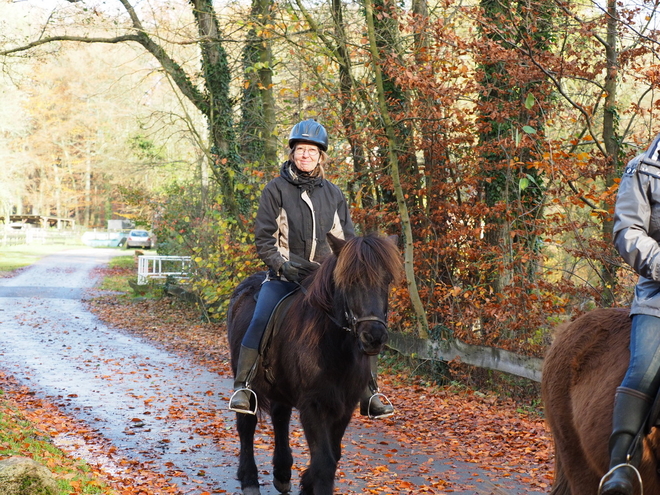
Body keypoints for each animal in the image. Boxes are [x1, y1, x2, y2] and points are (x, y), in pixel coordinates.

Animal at [227, 233, 402, 495]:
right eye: (349, 280)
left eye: (387, 279)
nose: (374, 337)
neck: (333, 347)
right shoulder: (313, 406)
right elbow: (324, 462)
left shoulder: (344, 407)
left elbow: (333, 455)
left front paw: (306, 483)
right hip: (247, 381)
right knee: (246, 424)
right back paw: (249, 479)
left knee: (280, 417)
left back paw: (282, 472)